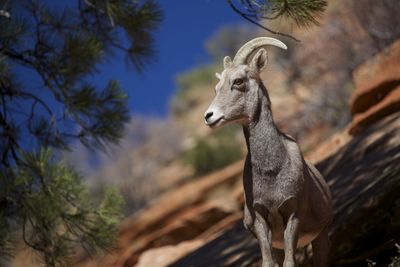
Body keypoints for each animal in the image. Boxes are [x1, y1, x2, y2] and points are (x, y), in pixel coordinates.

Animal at [205, 37, 332, 267]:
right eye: (216, 88)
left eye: (238, 81)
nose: (209, 116)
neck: (272, 170)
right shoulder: (261, 220)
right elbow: (268, 262)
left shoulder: (293, 214)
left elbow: (290, 263)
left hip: (321, 237)